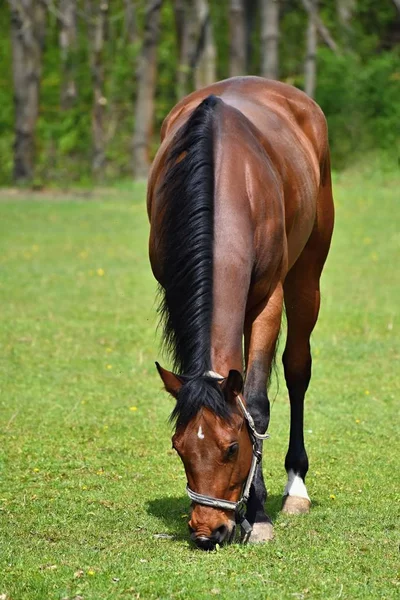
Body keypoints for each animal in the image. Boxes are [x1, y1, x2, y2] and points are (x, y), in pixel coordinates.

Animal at [147, 77, 334, 552]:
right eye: (178, 447)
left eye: (232, 448)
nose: (206, 532)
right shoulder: (174, 292)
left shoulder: (267, 300)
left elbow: (257, 405)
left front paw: (260, 515)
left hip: (308, 272)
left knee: (297, 369)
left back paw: (295, 488)